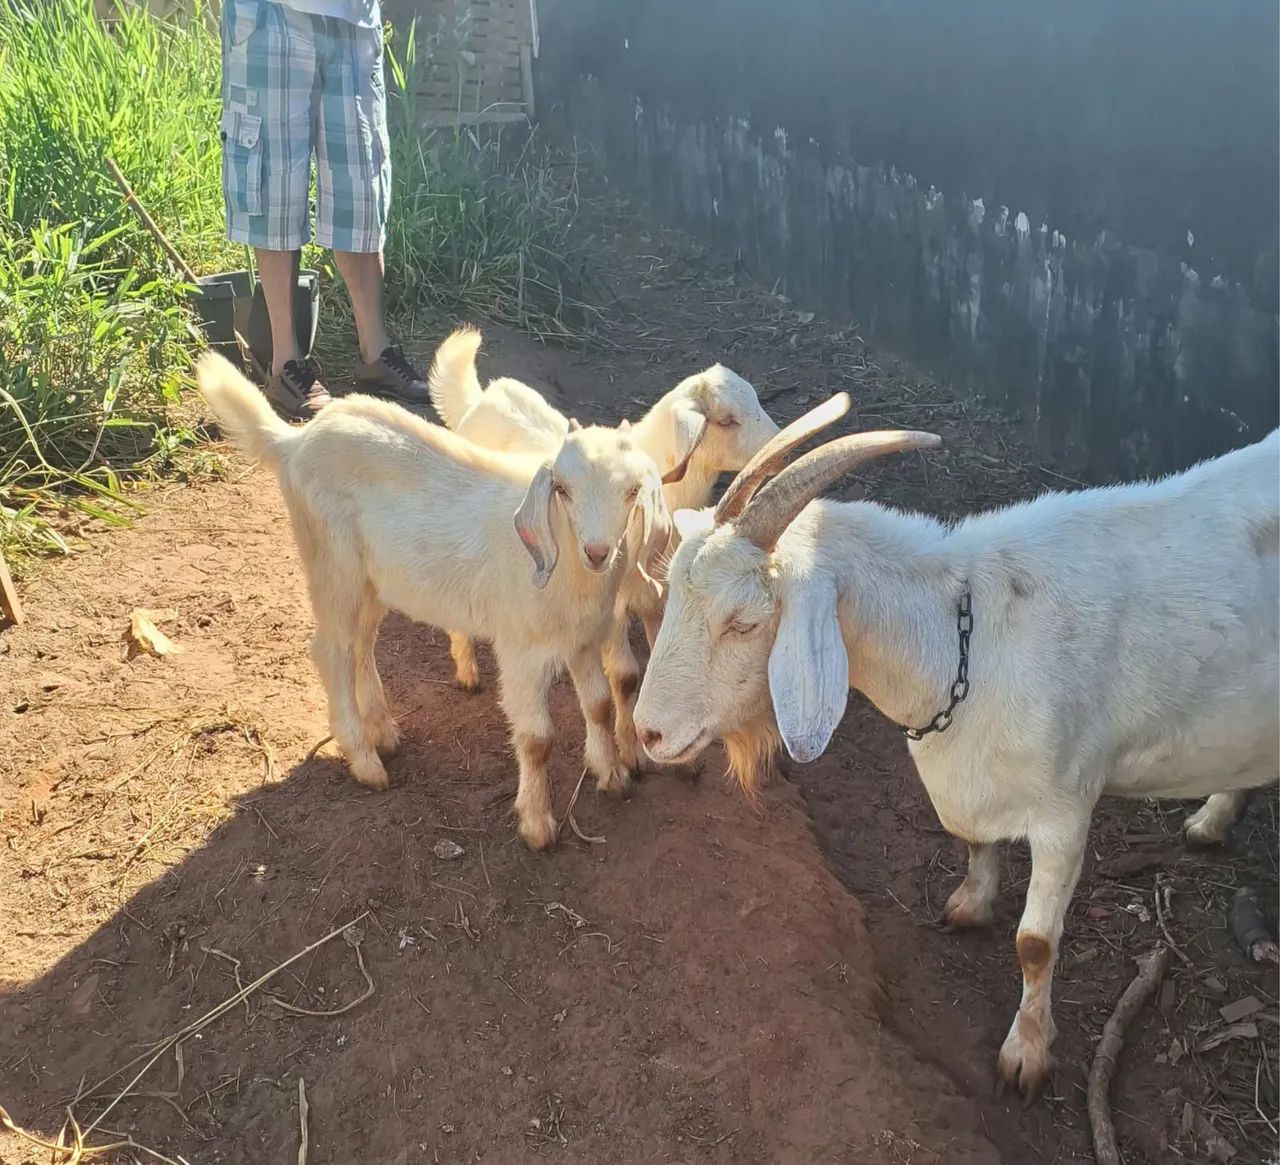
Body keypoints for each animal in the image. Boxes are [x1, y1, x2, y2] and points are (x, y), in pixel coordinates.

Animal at [197, 351, 671, 850]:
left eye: (633, 491)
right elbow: (537, 739)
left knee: (360, 644)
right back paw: (365, 761)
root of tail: (294, 441)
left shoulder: (583, 637)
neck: (571, 574)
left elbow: (599, 705)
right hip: (332, 566)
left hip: (372, 581)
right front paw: (537, 825)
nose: (597, 552)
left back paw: (383, 731)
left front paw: (612, 775)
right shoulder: (520, 649)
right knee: (330, 651)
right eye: (562, 489)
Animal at [428, 327, 780, 762]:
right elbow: (626, 677)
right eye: (727, 421)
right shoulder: (612, 604)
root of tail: (485, 396)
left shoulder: (660, 596)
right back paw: (466, 670)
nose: (782, 443)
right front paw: (628, 753)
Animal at [633, 395, 1280, 1098]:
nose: (648, 732)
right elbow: (971, 838)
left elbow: (1035, 944)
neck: (970, 639)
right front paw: (970, 905)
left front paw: (1026, 1055)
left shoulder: (1065, 810)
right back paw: (1213, 819)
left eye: (745, 623)